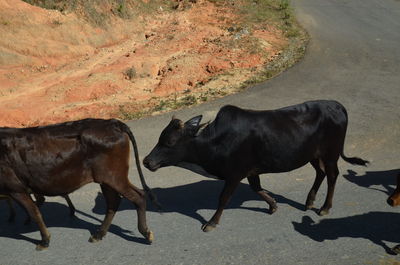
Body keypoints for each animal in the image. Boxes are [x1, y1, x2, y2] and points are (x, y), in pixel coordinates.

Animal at [0, 118, 158, 249]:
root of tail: (112, 122)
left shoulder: (16, 189)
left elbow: (34, 212)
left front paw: (44, 240)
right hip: (106, 179)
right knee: (113, 202)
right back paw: (99, 234)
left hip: (114, 177)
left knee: (138, 196)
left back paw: (145, 233)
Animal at [145, 99, 368, 231]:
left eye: (169, 142)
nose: (147, 161)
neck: (216, 141)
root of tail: (337, 105)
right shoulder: (251, 171)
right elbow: (257, 189)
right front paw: (273, 205)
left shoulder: (235, 174)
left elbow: (223, 198)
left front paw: (211, 222)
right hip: (313, 155)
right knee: (320, 173)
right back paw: (309, 201)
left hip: (330, 154)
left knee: (332, 175)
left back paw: (324, 207)